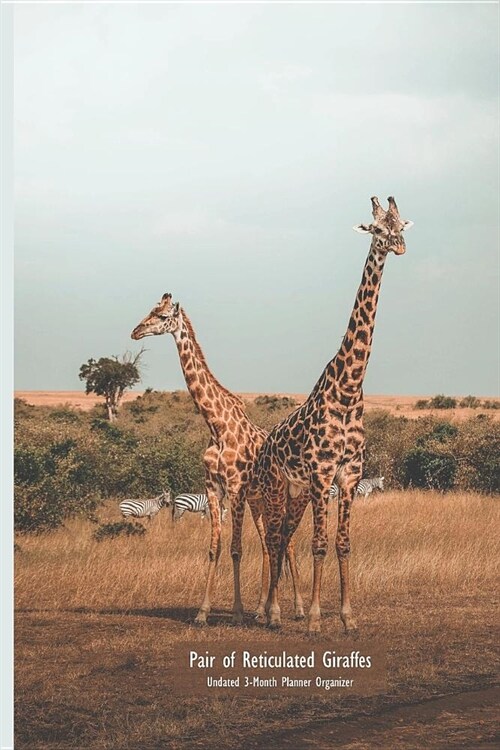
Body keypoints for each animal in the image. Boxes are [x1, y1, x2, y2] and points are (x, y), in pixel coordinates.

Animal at [130, 296, 304, 624]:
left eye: (161, 315)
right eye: (149, 310)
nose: (136, 331)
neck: (216, 426)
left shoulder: (235, 489)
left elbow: (236, 549)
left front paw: (236, 612)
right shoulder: (214, 488)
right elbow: (215, 548)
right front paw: (203, 611)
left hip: (280, 497)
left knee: (286, 544)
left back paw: (297, 609)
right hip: (258, 502)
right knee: (268, 545)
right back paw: (261, 610)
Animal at [256, 195, 412, 636]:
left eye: (402, 226)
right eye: (377, 229)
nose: (399, 247)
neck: (348, 389)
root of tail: (266, 443)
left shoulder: (349, 476)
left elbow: (342, 545)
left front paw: (347, 617)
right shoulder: (322, 475)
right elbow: (319, 545)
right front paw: (313, 619)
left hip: (295, 493)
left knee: (284, 537)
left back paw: (274, 611)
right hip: (277, 486)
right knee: (274, 538)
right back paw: (268, 612)